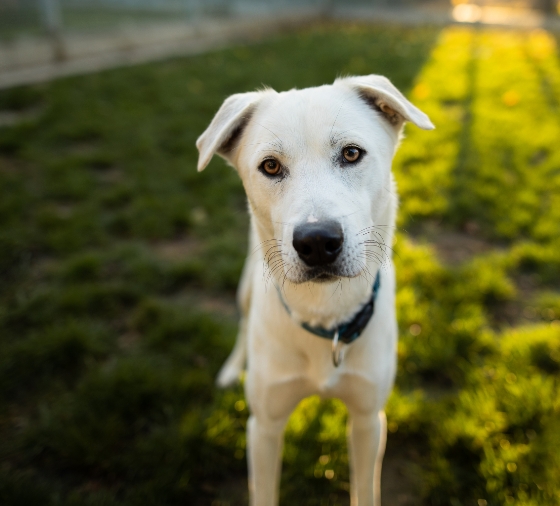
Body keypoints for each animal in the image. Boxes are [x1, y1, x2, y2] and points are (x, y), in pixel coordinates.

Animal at [197, 75, 434, 506]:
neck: (326, 313)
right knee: (242, 323)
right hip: (245, 286)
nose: (318, 242)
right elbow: (264, 491)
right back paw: (231, 369)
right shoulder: (264, 427)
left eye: (352, 153)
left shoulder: (369, 421)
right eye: (270, 166)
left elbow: (365, 489)